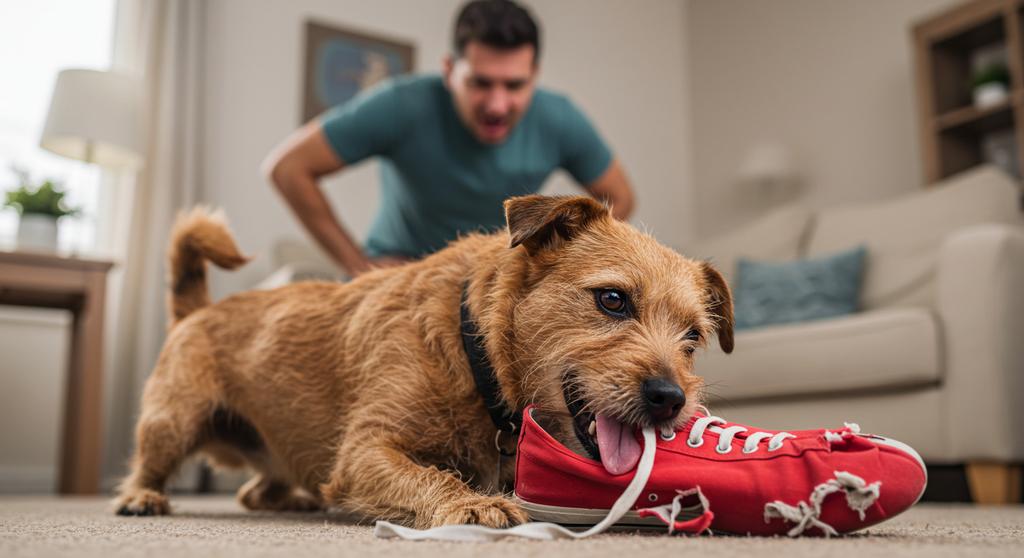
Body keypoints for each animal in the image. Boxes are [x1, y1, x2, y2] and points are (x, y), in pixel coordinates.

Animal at [116, 194, 733, 528]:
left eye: (692, 338)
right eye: (612, 299)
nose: (671, 399)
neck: (476, 351)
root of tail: (198, 309)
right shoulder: (366, 451)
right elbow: (427, 474)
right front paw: (472, 504)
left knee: (258, 488)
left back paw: (291, 497)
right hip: (170, 423)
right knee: (148, 463)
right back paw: (141, 496)